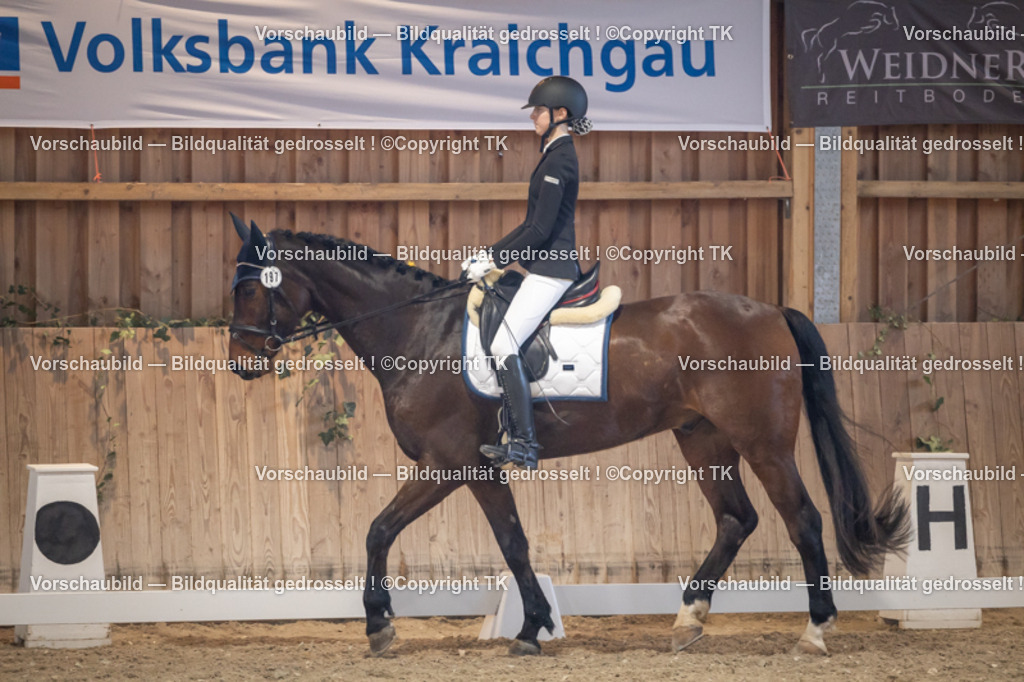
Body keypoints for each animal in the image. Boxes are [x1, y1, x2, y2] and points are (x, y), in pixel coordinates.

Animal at [226, 217, 910, 657]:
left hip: (762, 444)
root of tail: (772, 311)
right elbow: (511, 543)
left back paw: (815, 631)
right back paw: (687, 620)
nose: (240, 362)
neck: (419, 333)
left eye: (251, 286)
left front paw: (380, 626)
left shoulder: (452, 464)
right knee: (737, 519)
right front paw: (532, 626)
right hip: (703, 439)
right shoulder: (476, 468)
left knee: (803, 520)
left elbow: (386, 531)